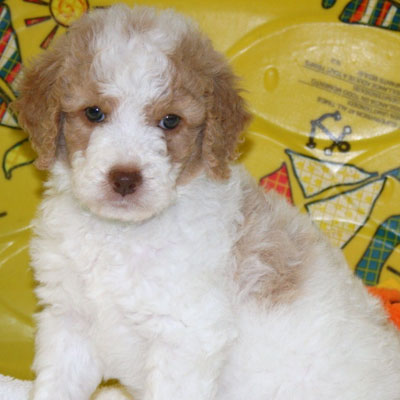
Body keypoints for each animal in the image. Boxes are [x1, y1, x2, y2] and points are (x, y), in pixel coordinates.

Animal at [14, 3, 400, 400]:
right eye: (93, 112)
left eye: (170, 121)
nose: (124, 179)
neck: (121, 234)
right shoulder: (69, 319)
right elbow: (57, 385)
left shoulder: (185, 335)